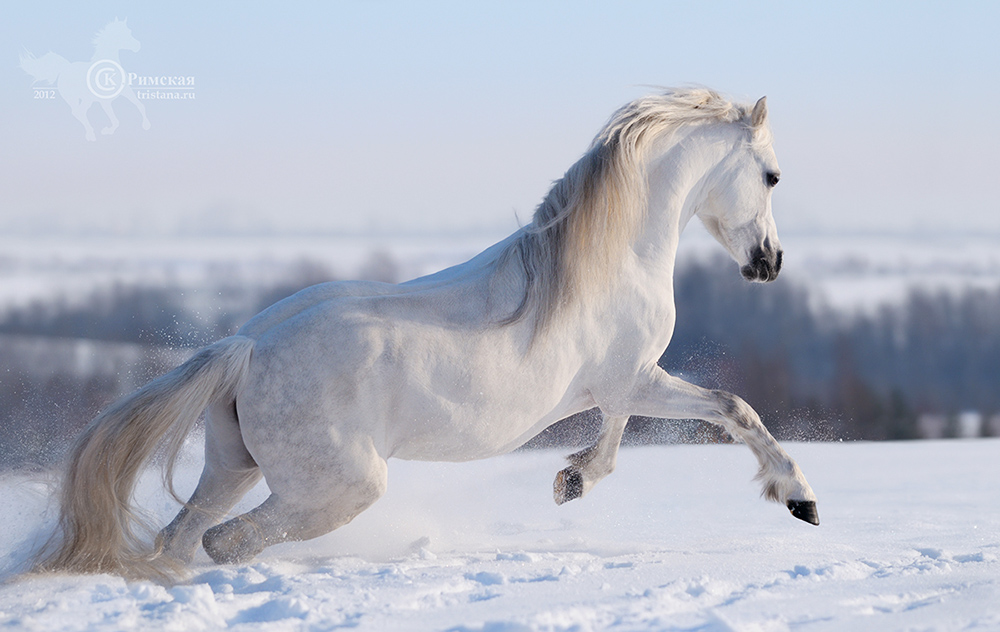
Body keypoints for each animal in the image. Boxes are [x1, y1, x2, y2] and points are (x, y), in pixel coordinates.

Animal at [37, 89, 820, 584]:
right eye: (772, 176)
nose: (771, 263)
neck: (611, 259)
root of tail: (248, 349)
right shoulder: (636, 377)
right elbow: (732, 409)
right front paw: (799, 498)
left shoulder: (620, 385)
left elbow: (618, 434)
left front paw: (571, 480)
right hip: (340, 486)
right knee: (225, 541)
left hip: (232, 465)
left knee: (181, 535)